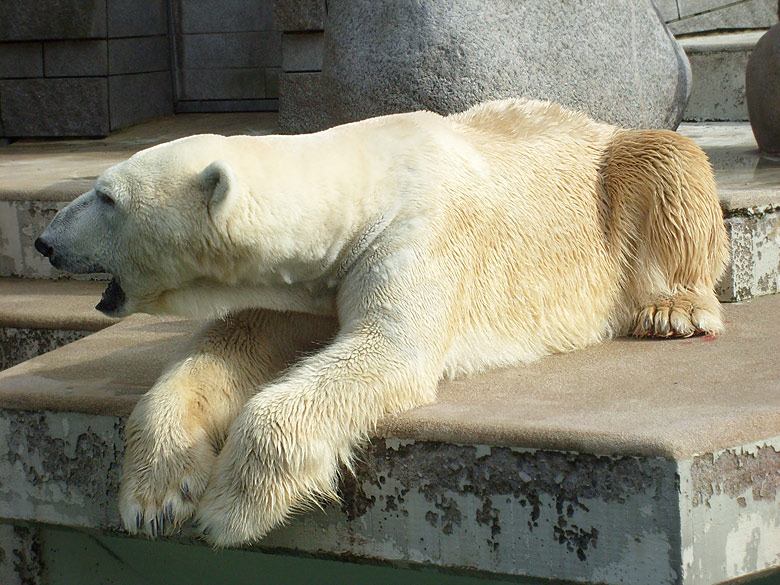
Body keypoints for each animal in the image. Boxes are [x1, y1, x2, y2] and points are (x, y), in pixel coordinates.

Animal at [35, 98, 732, 544]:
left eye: (105, 197)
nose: (44, 240)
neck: (364, 184)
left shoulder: (417, 234)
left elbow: (385, 352)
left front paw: (229, 508)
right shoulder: (305, 283)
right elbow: (231, 346)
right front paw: (155, 498)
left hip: (612, 171)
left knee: (667, 159)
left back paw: (671, 311)